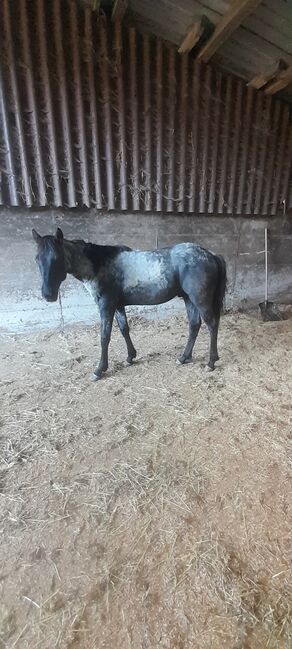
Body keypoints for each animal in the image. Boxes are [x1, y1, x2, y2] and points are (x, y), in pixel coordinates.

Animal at [33, 228, 227, 380]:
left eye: (57, 258)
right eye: (37, 259)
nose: (48, 295)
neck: (99, 264)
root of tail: (210, 255)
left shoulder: (106, 306)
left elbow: (104, 337)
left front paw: (99, 370)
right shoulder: (118, 306)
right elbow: (124, 329)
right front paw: (130, 357)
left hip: (200, 300)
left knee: (212, 325)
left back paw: (211, 362)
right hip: (188, 299)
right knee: (194, 325)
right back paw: (183, 357)